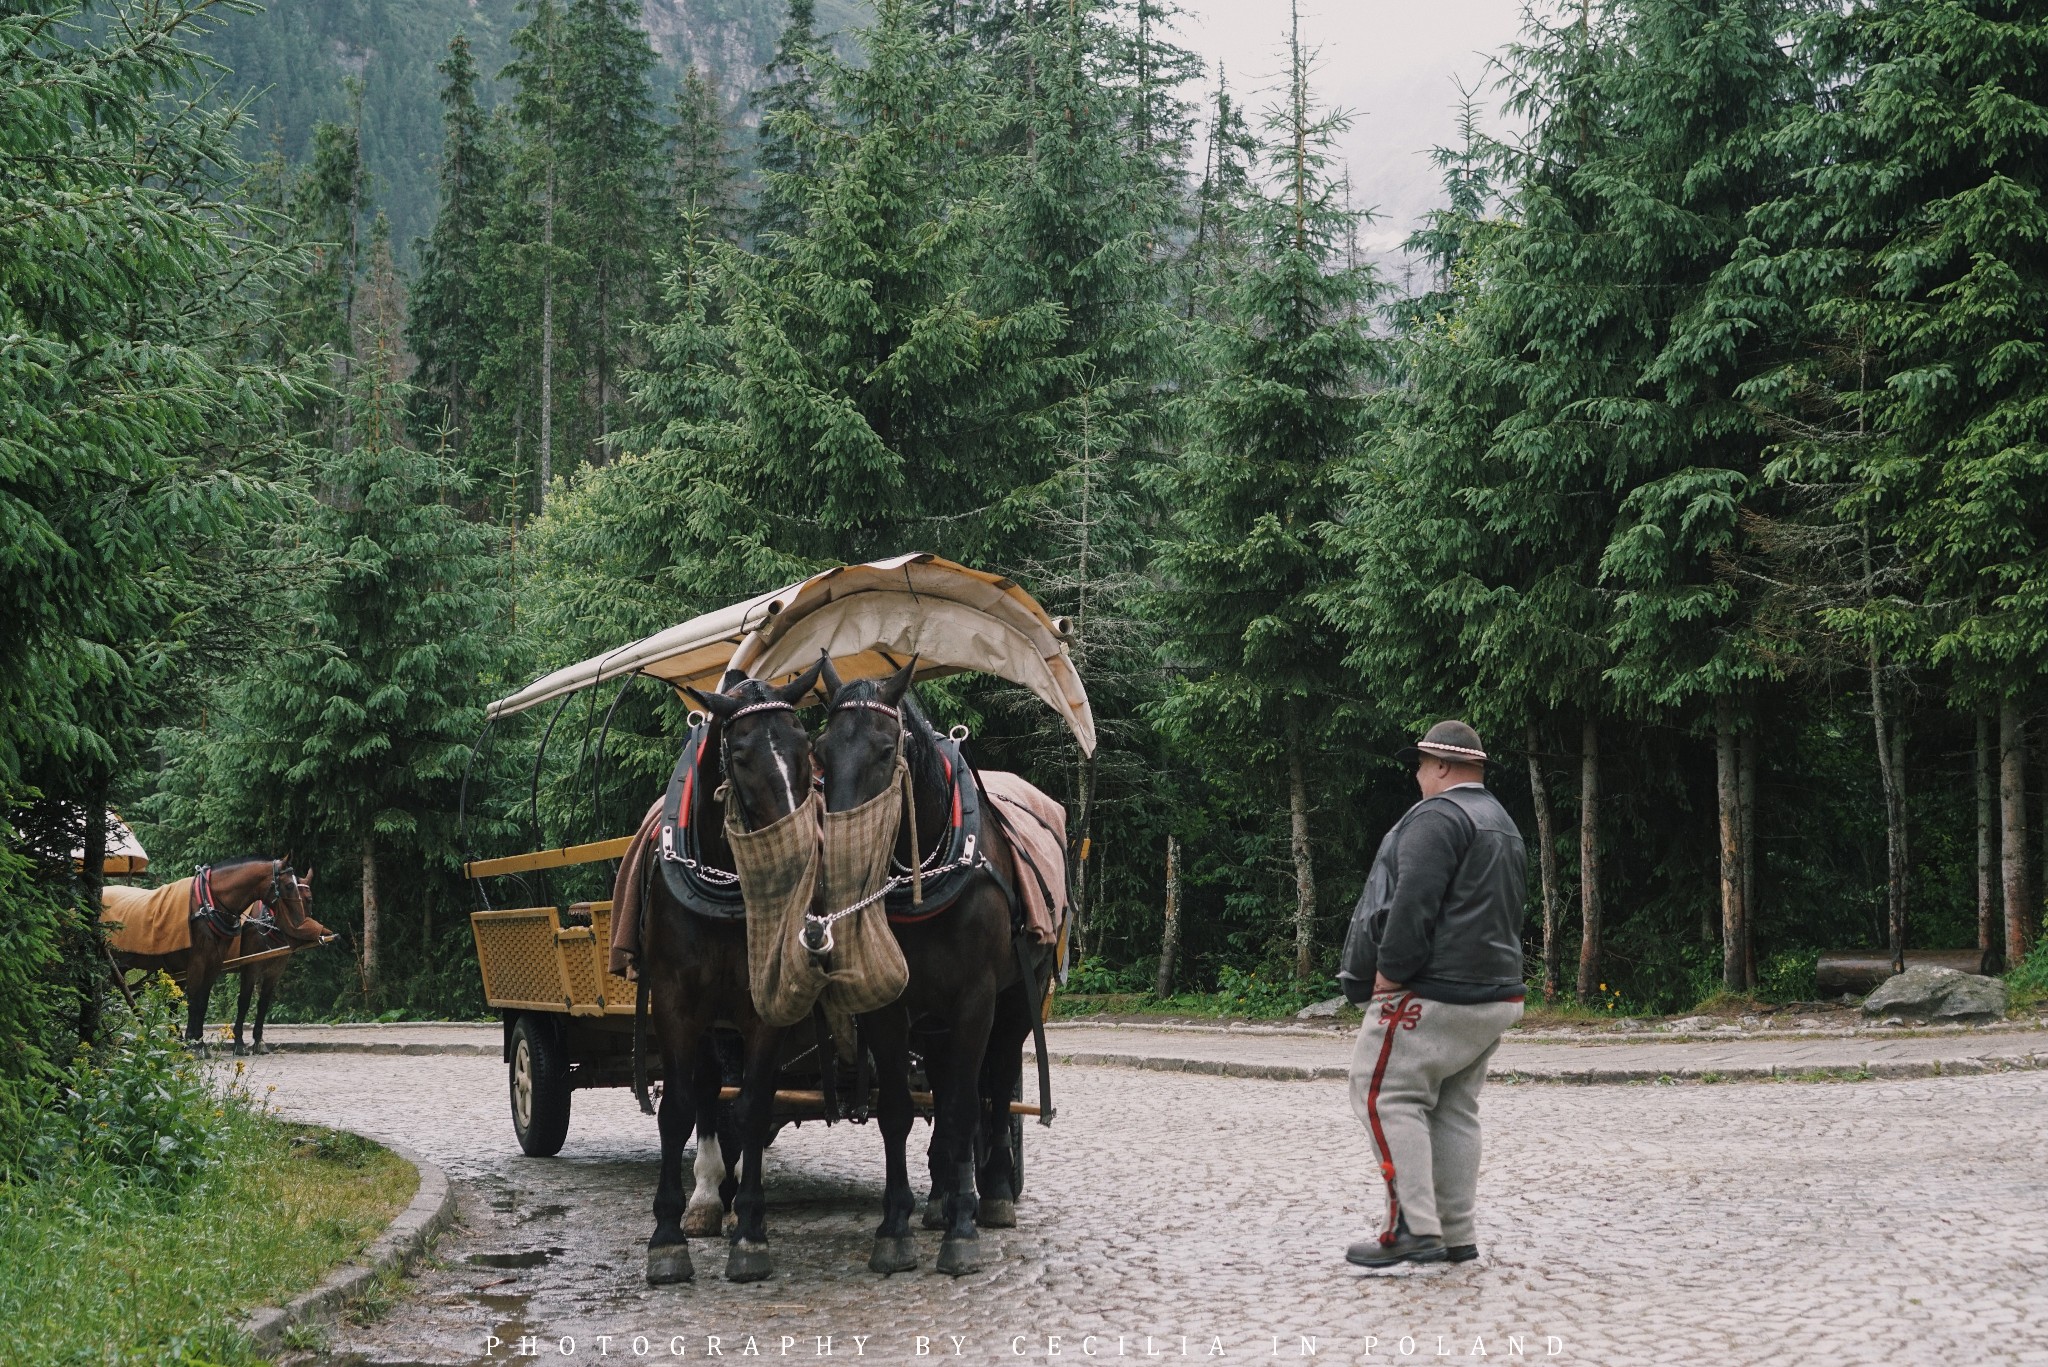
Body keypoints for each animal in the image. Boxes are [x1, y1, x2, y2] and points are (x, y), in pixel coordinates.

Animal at [106, 860, 313, 1057]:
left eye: (309, 900)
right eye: (288, 886)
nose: (300, 927)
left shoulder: (269, 971)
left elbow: (259, 1004)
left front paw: (257, 1042)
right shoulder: (239, 968)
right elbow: (234, 1002)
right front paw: (223, 1044)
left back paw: (175, 1040)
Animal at [643, 659, 827, 1287]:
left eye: (805, 747)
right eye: (741, 754)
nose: (801, 857)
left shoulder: (764, 1008)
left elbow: (751, 1107)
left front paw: (750, 1228)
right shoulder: (676, 1003)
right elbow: (679, 1107)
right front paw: (667, 1238)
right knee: (704, 1093)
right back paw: (704, 1198)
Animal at [811, 664, 1048, 1287]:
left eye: (885, 748)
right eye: (819, 751)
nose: (839, 855)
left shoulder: (976, 1000)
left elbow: (968, 1106)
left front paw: (963, 1233)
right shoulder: (890, 1005)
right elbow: (900, 1109)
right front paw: (895, 1227)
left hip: (1017, 1000)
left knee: (994, 1086)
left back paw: (990, 1194)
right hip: (935, 1020)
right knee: (942, 1089)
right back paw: (941, 1195)